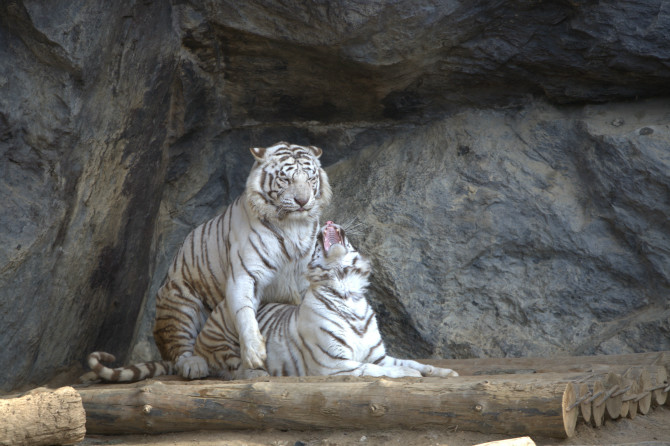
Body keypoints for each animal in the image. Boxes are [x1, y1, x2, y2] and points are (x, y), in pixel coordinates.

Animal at [84, 221, 460, 382]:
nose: (329, 220)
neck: (348, 291)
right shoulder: (335, 365)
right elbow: (379, 370)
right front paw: (407, 377)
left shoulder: (378, 353)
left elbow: (411, 362)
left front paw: (445, 371)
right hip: (217, 336)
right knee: (225, 368)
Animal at [151, 141, 332, 378]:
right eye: (286, 179)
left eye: (310, 178)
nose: (302, 201)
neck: (294, 225)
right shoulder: (246, 274)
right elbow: (244, 312)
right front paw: (255, 353)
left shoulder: (304, 277)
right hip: (178, 297)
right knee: (179, 346)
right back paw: (195, 365)